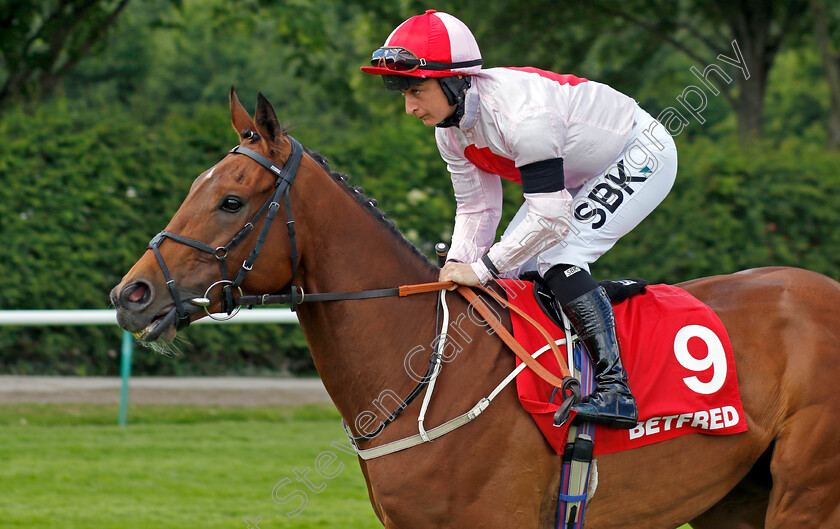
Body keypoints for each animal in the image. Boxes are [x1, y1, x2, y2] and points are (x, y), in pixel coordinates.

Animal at [111, 88, 840, 524]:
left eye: (231, 200)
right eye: (196, 187)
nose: (130, 294)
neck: (425, 370)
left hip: (806, 491)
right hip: (737, 496)